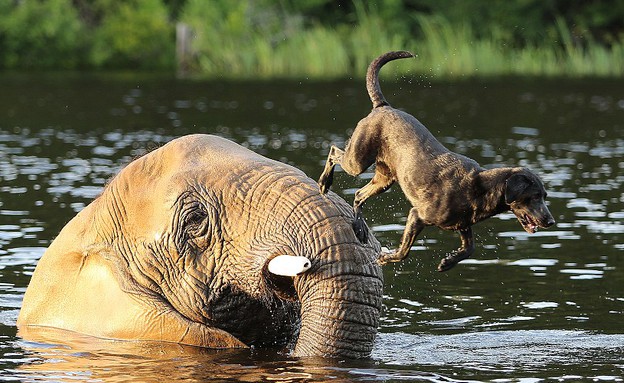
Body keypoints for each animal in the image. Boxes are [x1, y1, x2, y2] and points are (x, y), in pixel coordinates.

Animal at [320, 51, 552, 272]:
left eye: (544, 196)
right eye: (533, 196)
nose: (551, 221)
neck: (479, 188)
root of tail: (382, 106)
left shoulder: (463, 225)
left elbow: (470, 248)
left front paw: (447, 262)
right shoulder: (417, 215)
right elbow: (404, 251)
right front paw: (385, 257)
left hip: (385, 179)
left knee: (359, 194)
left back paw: (359, 228)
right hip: (358, 160)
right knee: (333, 152)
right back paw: (324, 183)